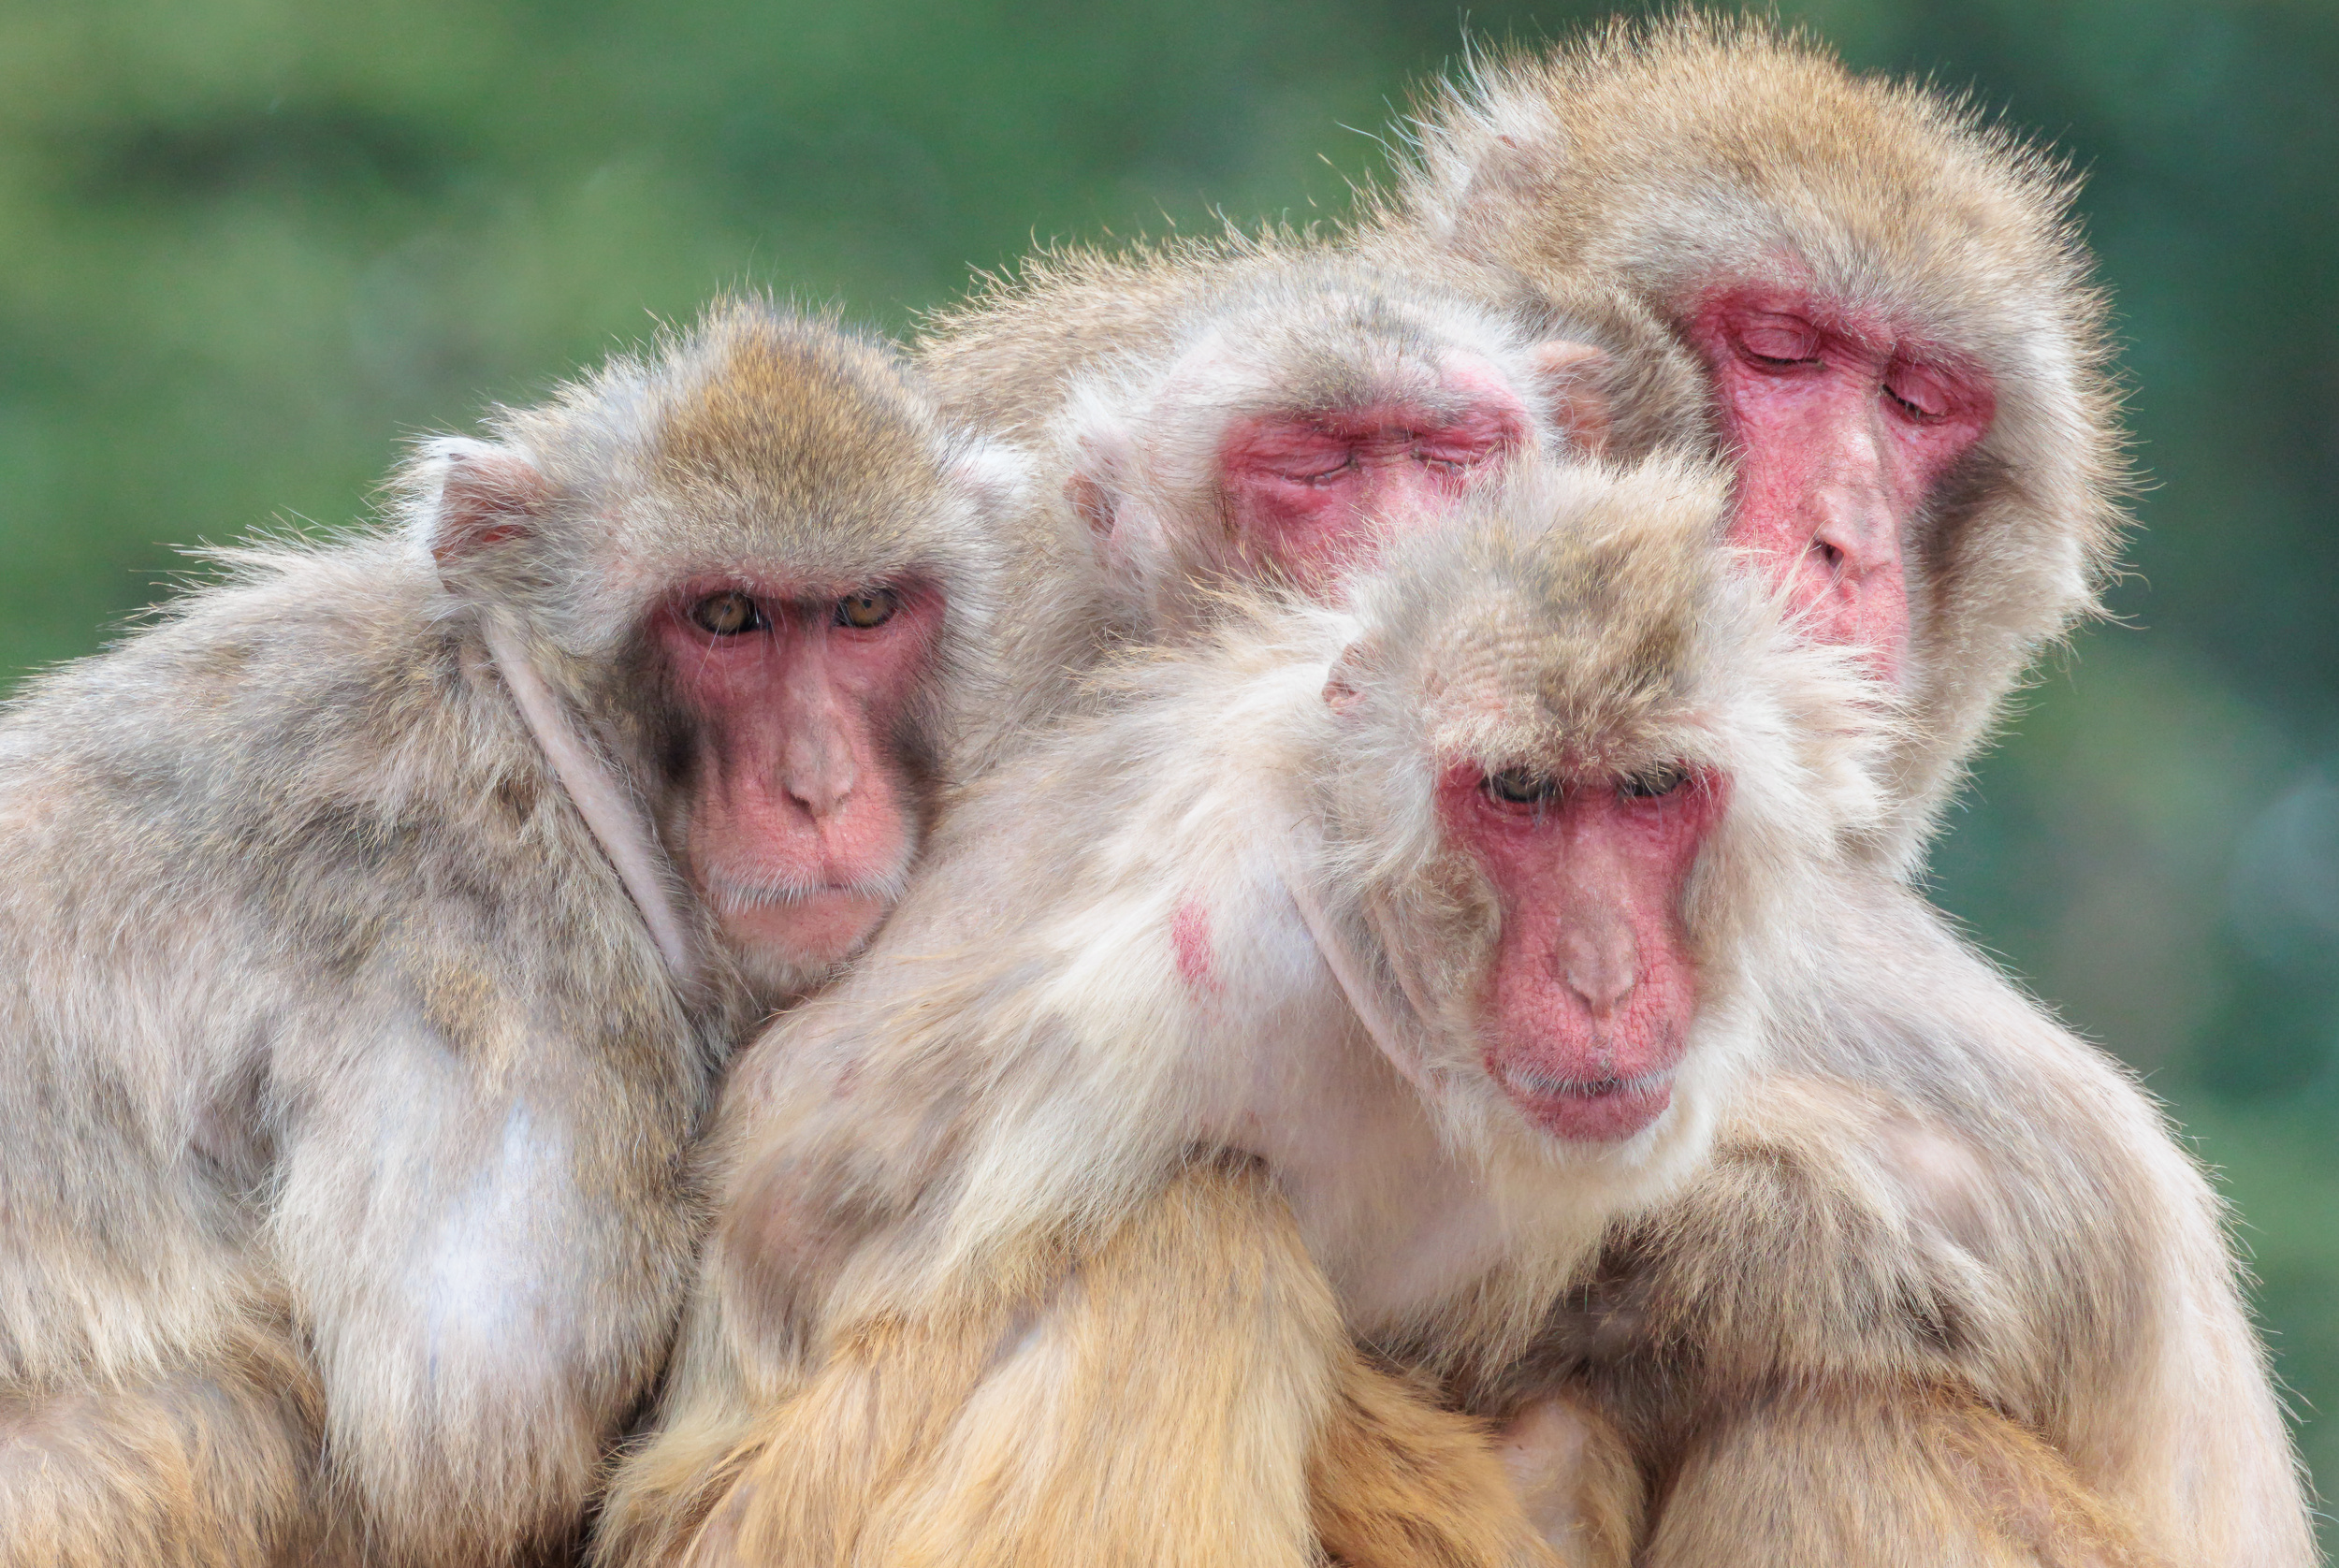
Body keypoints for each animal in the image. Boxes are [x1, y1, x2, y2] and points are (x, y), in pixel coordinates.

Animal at [0, 298, 1023, 1567]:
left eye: (866, 610)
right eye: (725, 616)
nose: (820, 786)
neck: (553, 739)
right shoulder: (503, 955)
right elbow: (468, 1432)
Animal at [586, 452, 1903, 1568]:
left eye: (1649, 789)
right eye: (1519, 790)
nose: (1602, 974)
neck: (1379, 974)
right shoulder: (1184, 967)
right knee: (1200, 1236)